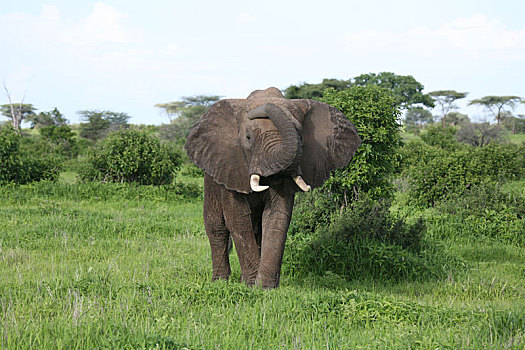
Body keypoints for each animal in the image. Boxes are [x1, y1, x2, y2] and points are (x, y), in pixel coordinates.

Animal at [184, 87, 360, 288]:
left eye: (301, 137)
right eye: (248, 137)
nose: (259, 109)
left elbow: (277, 216)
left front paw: (264, 287)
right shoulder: (231, 167)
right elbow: (237, 219)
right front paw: (251, 285)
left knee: (257, 229)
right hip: (211, 179)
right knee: (216, 226)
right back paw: (220, 282)